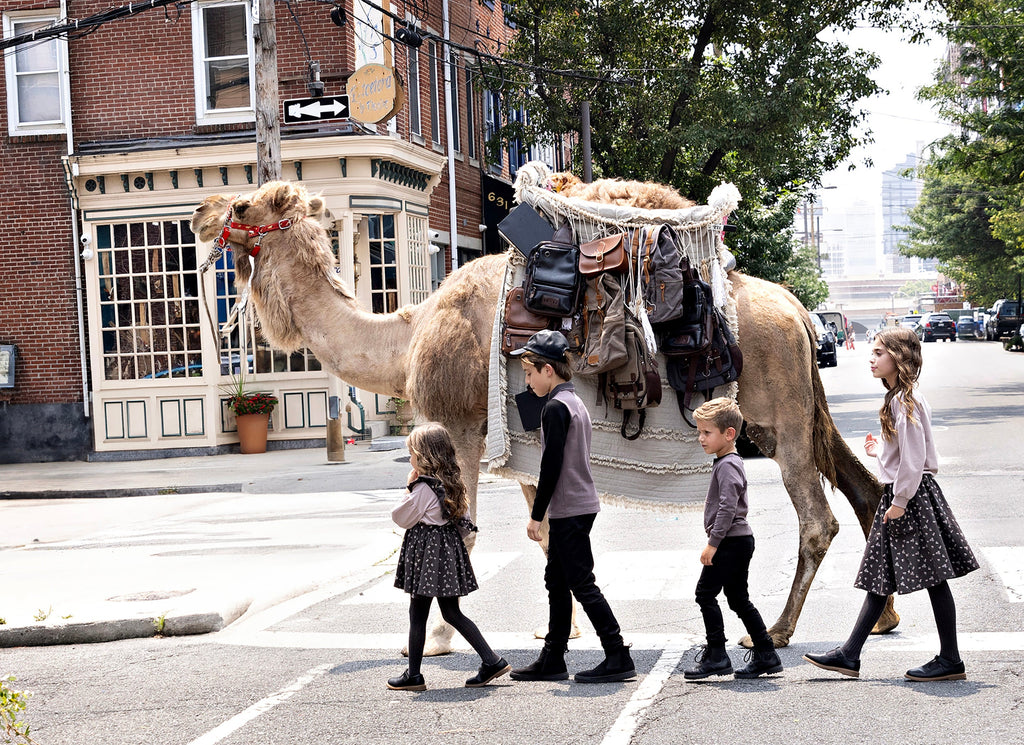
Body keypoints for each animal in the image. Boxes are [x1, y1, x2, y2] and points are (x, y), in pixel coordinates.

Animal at [192, 180, 897, 650]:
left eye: (244, 206)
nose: (199, 213)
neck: (408, 336)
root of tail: (800, 313)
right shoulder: (532, 444)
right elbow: (548, 535)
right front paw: (559, 630)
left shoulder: (462, 427)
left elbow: (467, 529)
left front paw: (445, 640)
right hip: (789, 416)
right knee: (864, 487)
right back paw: (883, 617)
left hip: (782, 418)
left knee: (817, 518)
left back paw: (775, 631)